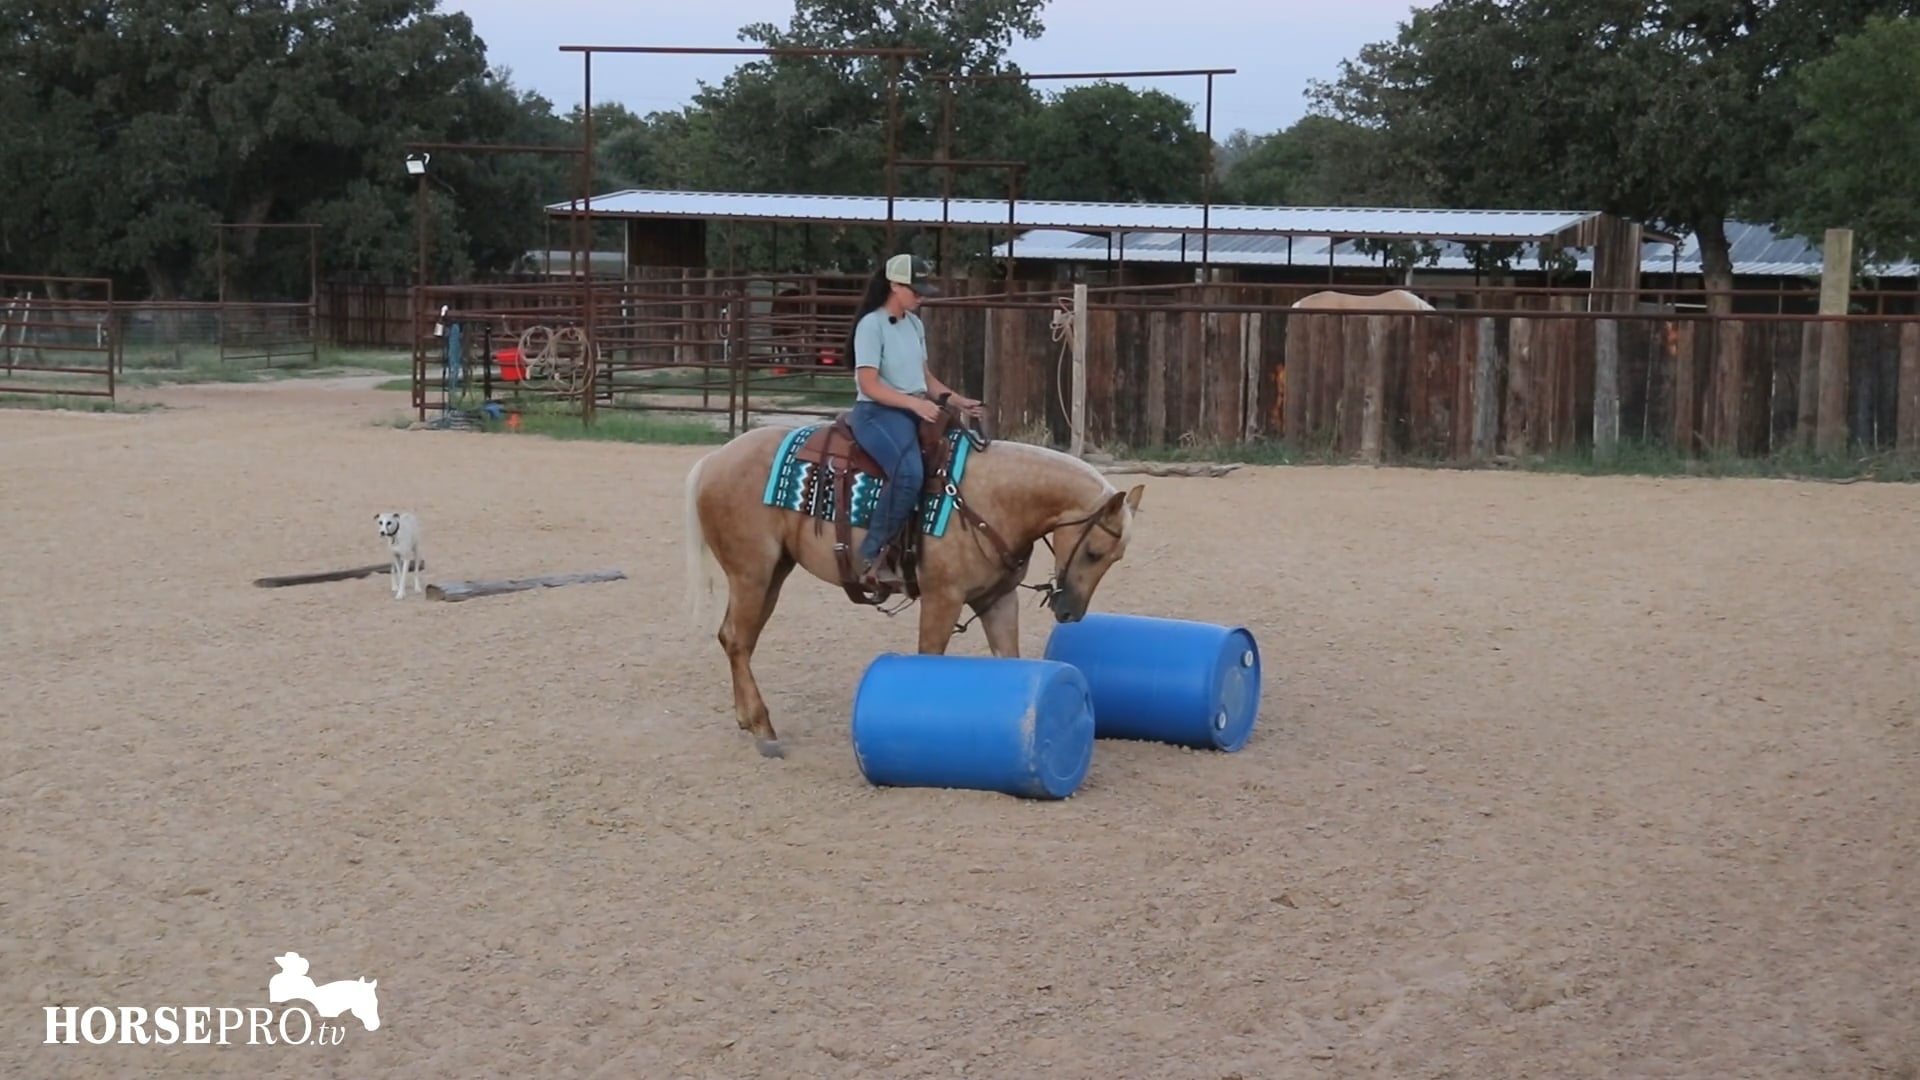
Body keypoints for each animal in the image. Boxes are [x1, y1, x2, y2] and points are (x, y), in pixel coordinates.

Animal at [684, 406, 1146, 759]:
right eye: (1093, 553)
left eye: (1116, 558)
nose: (1070, 611)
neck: (992, 498)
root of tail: (713, 460)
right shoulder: (943, 598)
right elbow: (930, 657)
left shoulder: (997, 599)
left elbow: (1009, 659)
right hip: (752, 572)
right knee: (738, 639)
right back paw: (764, 732)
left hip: (774, 573)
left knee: (735, 638)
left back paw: (748, 719)